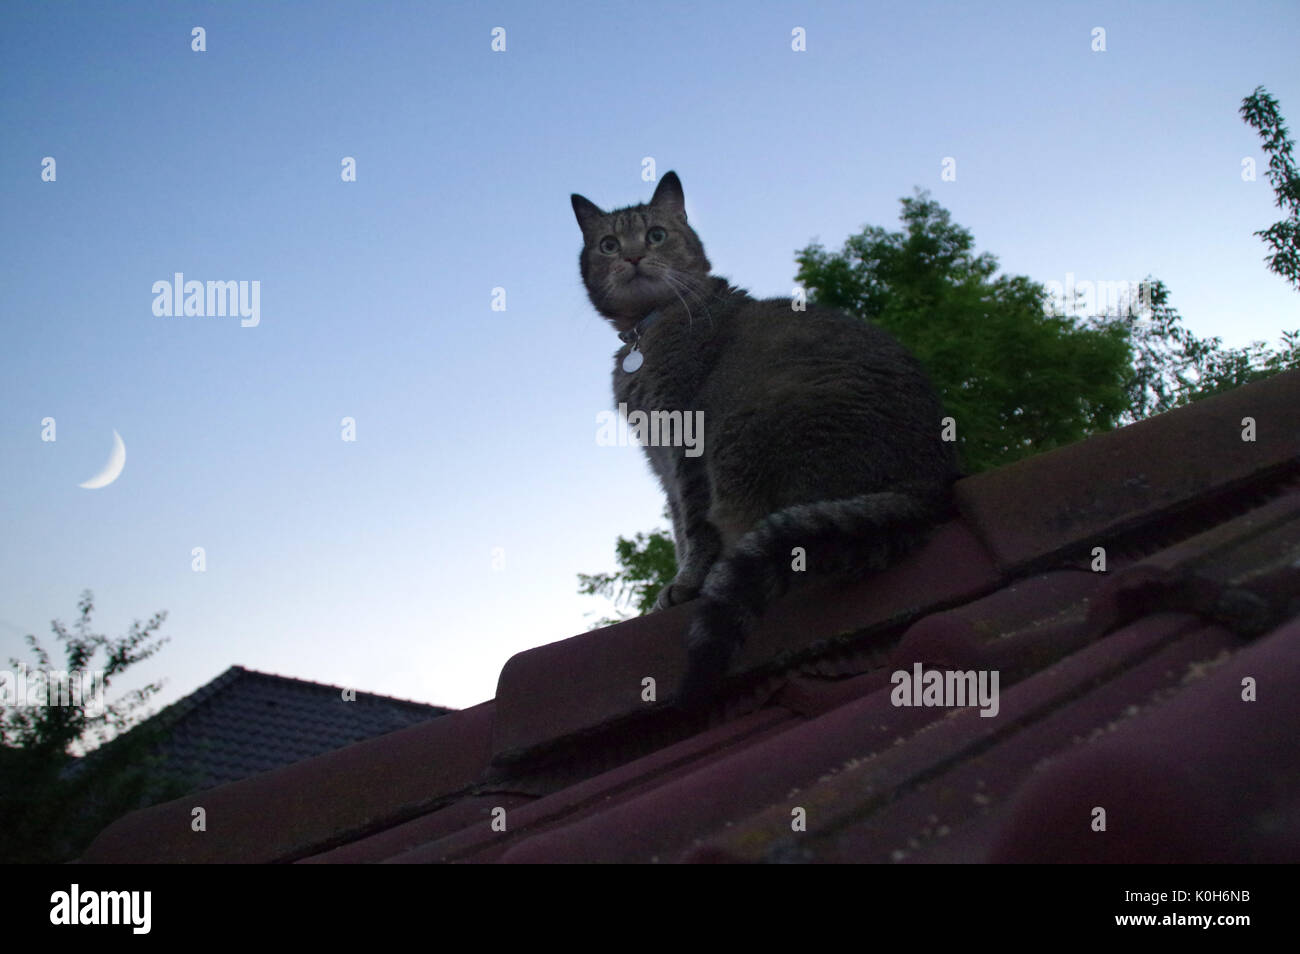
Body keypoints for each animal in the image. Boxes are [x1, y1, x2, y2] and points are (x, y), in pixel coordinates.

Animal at [574, 171, 961, 712]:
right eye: (608, 244)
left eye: (655, 234)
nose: (630, 257)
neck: (647, 332)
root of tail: (929, 485)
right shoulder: (661, 461)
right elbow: (677, 525)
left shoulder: (687, 444)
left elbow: (695, 526)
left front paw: (687, 585)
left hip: (744, 436)